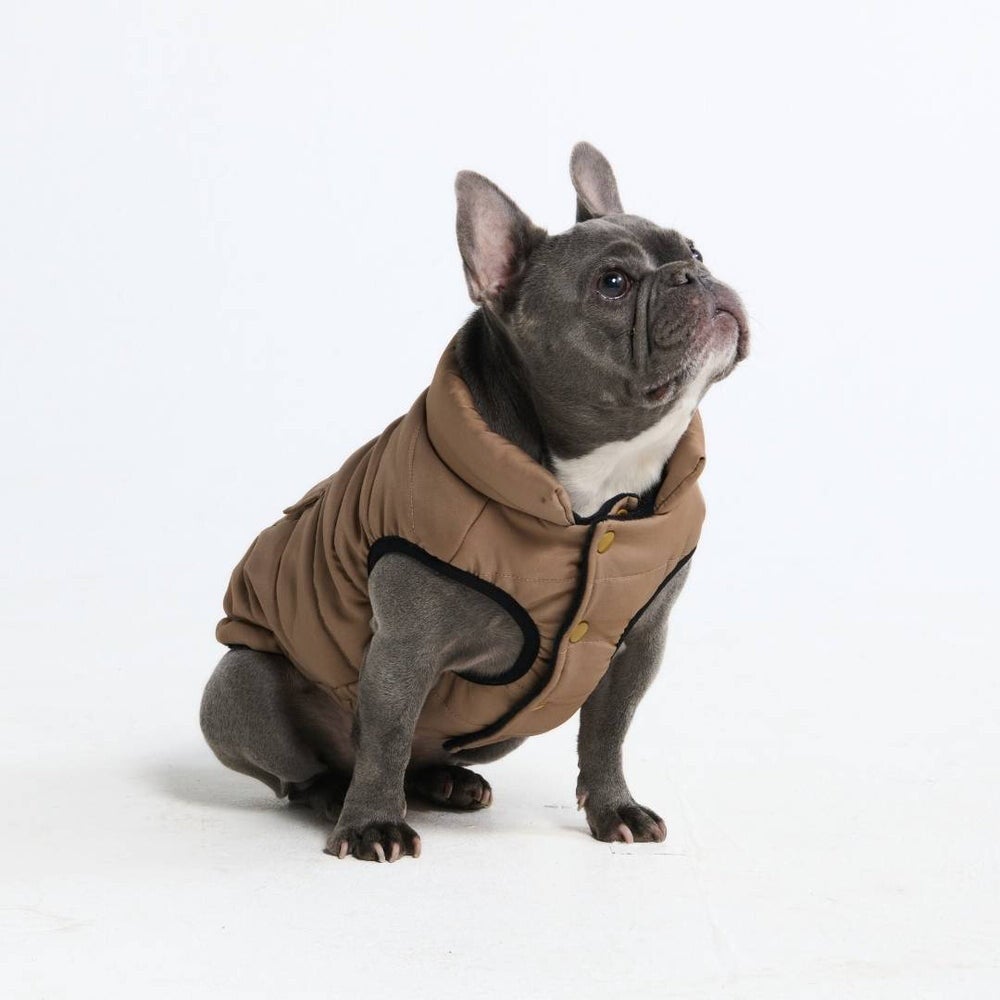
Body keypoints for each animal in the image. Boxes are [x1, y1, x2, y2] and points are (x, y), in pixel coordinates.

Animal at [200, 143, 749, 862]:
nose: (693, 275)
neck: (594, 489)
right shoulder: (404, 649)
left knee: (422, 754)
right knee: (314, 767)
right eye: (614, 284)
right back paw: (334, 796)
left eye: (695, 250)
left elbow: (608, 734)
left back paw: (447, 782)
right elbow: (385, 736)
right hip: (240, 685)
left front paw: (615, 810)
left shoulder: (636, 645)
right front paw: (372, 824)